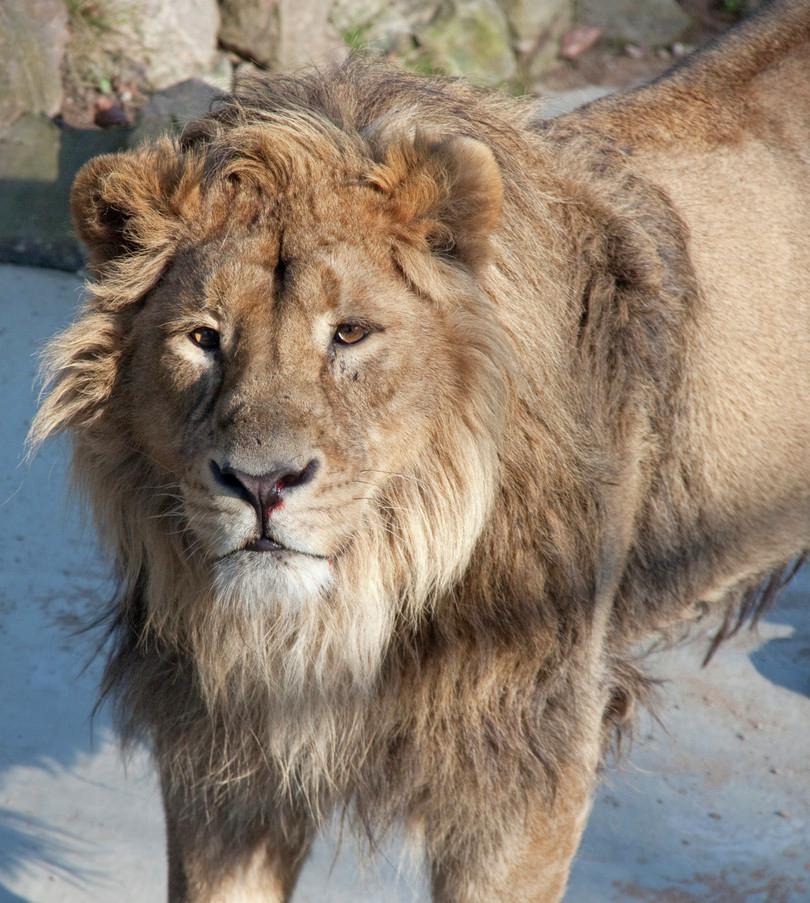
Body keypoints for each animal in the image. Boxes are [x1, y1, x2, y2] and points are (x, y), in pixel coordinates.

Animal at [28, 3, 808, 900]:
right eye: (202, 338)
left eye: (351, 334)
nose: (262, 483)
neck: (353, 609)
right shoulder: (224, 753)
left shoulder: (528, 765)